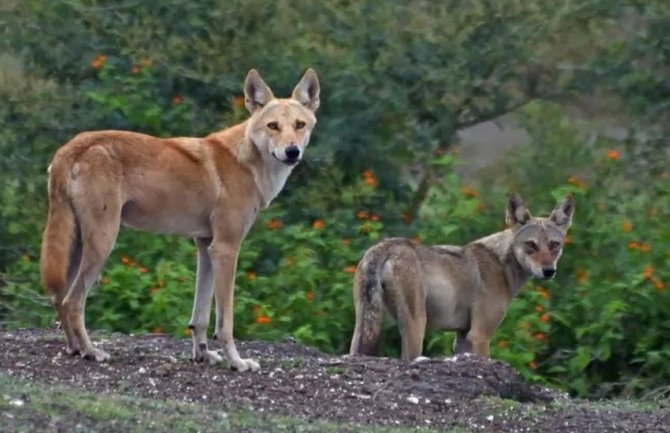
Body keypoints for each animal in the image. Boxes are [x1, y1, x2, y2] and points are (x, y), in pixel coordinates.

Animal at [40, 69, 322, 370]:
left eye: (300, 125)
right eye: (273, 126)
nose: (292, 151)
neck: (247, 163)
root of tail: (70, 147)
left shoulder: (206, 247)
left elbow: (200, 316)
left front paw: (203, 355)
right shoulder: (226, 249)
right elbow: (225, 322)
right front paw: (237, 362)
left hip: (78, 245)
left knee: (59, 298)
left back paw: (75, 349)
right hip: (103, 244)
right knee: (73, 301)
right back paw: (91, 351)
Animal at [350, 194, 576, 360]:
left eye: (554, 245)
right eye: (531, 245)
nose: (548, 271)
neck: (502, 264)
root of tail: (384, 246)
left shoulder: (462, 337)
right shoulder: (480, 335)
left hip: (364, 326)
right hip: (416, 327)